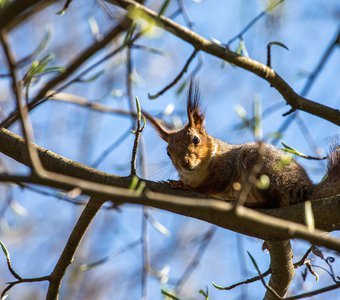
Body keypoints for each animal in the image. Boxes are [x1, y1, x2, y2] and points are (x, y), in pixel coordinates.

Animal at [143, 81, 340, 207]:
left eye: (196, 139)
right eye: (168, 153)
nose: (184, 163)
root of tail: (306, 188)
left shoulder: (225, 168)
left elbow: (211, 185)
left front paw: (183, 186)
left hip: (263, 169)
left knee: (274, 203)